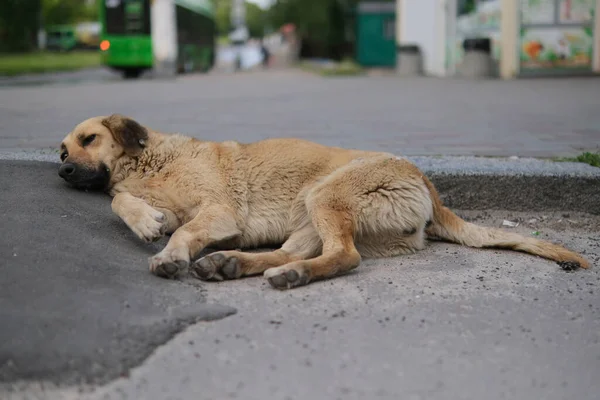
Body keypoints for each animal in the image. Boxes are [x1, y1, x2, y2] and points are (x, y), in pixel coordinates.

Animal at [57, 114, 592, 290]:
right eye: (62, 150)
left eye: (89, 139)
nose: (61, 169)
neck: (150, 162)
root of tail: (427, 181)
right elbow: (122, 205)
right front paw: (145, 221)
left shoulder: (219, 211)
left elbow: (184, 229)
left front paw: (168, 253)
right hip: (312, 209)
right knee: (292, 250)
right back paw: (231, 263)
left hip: (327, 193)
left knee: (344, 256)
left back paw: (289, 274)